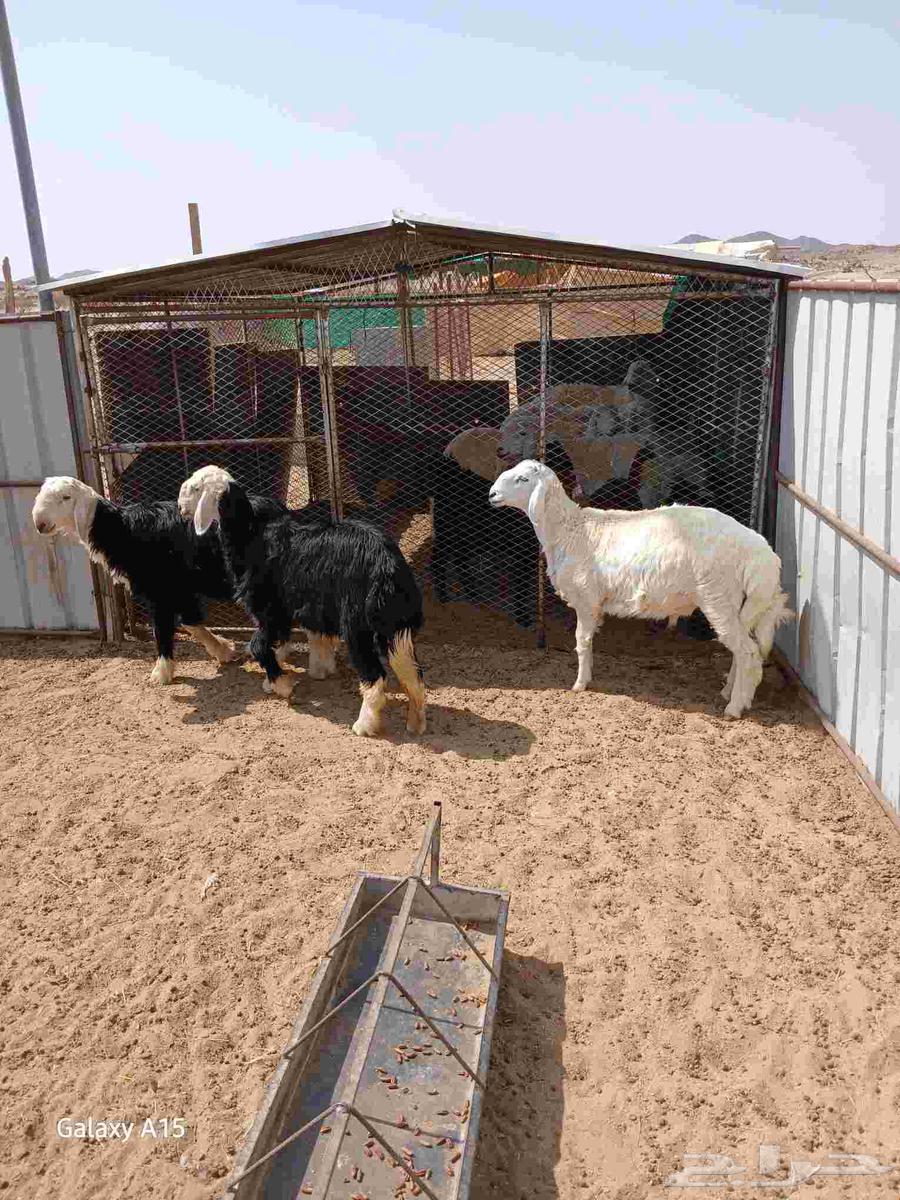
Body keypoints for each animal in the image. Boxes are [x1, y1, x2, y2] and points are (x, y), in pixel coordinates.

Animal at [31, 475, 277, 684]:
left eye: (66, 497)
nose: (40, 524)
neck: (120, 530)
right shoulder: (180, 590)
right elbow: (190, 622)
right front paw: (223, 649)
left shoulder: (159, 590)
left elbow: (162, 629)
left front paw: (161, 673)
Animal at [177, 465, 426, 737]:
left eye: (196, 488)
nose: (180, 508)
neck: (250, 534)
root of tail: (388, 568)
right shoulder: (292, 610)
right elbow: (288, 640)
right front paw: (305, 671)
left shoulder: (268, 609)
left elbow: (258, 646)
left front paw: (283, 685)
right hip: (394, 624)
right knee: (413, 674)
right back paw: (416, 722)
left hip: (357, 625)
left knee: (376, 676)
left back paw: (364, 724)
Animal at [487, 461, 791, 717]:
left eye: (523, 479)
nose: (492, 494)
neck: (568, 530)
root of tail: (761, 554)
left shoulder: (586, 599)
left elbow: (582, 642)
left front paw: (580, 684)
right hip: (738, 604)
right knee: (744, 650)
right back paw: (730, 691)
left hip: (719, 598)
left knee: (749, 653)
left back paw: (735, 707)